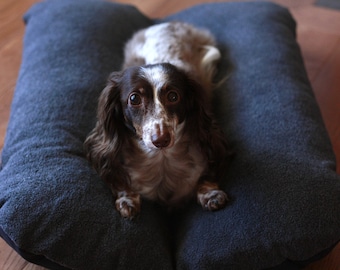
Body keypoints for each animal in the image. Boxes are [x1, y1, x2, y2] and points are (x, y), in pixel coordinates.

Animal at [84, 21, 231, 219]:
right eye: (134, 98)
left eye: (173, 96)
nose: (161, 139)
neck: (162, 161)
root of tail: (167, 23)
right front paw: (127, 199)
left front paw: (210, 194)